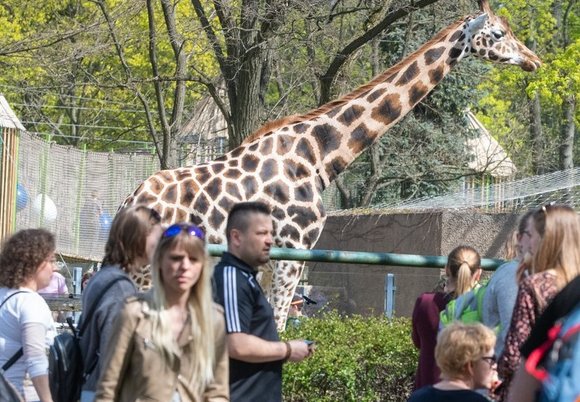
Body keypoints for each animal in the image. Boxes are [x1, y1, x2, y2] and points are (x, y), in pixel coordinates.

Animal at [121, 0, 540, 330]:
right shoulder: (290, 252)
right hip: (146, 271)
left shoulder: (274, 261)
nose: (533, 60)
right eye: (498, 33)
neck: (318, 155)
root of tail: (128, 202)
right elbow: (277, 330)